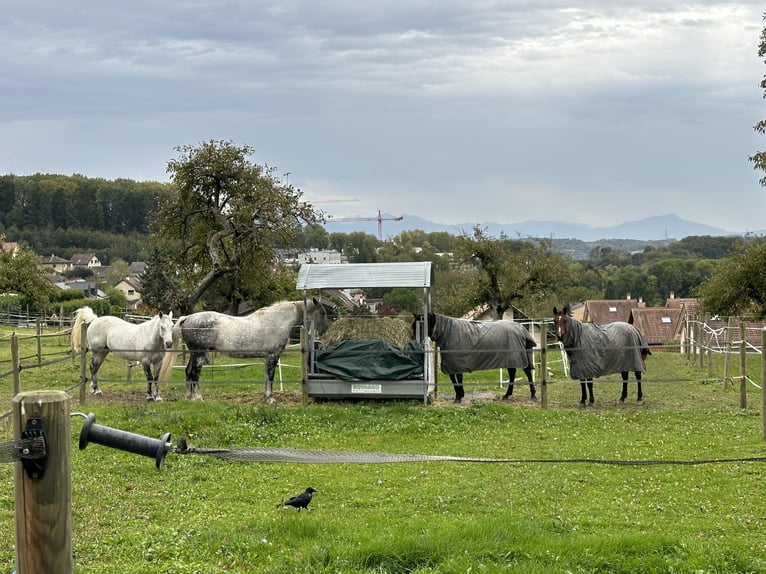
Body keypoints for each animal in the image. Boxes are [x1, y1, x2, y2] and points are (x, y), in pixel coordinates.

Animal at [158, 300, 334, 402]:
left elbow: (266, 377)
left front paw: (265, 397)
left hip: (194, 354)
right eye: (323, 312)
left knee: (188, 371)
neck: (276, 322)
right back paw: (199, 398)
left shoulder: (268, 358)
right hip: (200, 354)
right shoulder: (273, 356)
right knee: (195, 373)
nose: (325, 332)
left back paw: (189, 397)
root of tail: (187, 318)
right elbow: (271, 378)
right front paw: (271, 399)